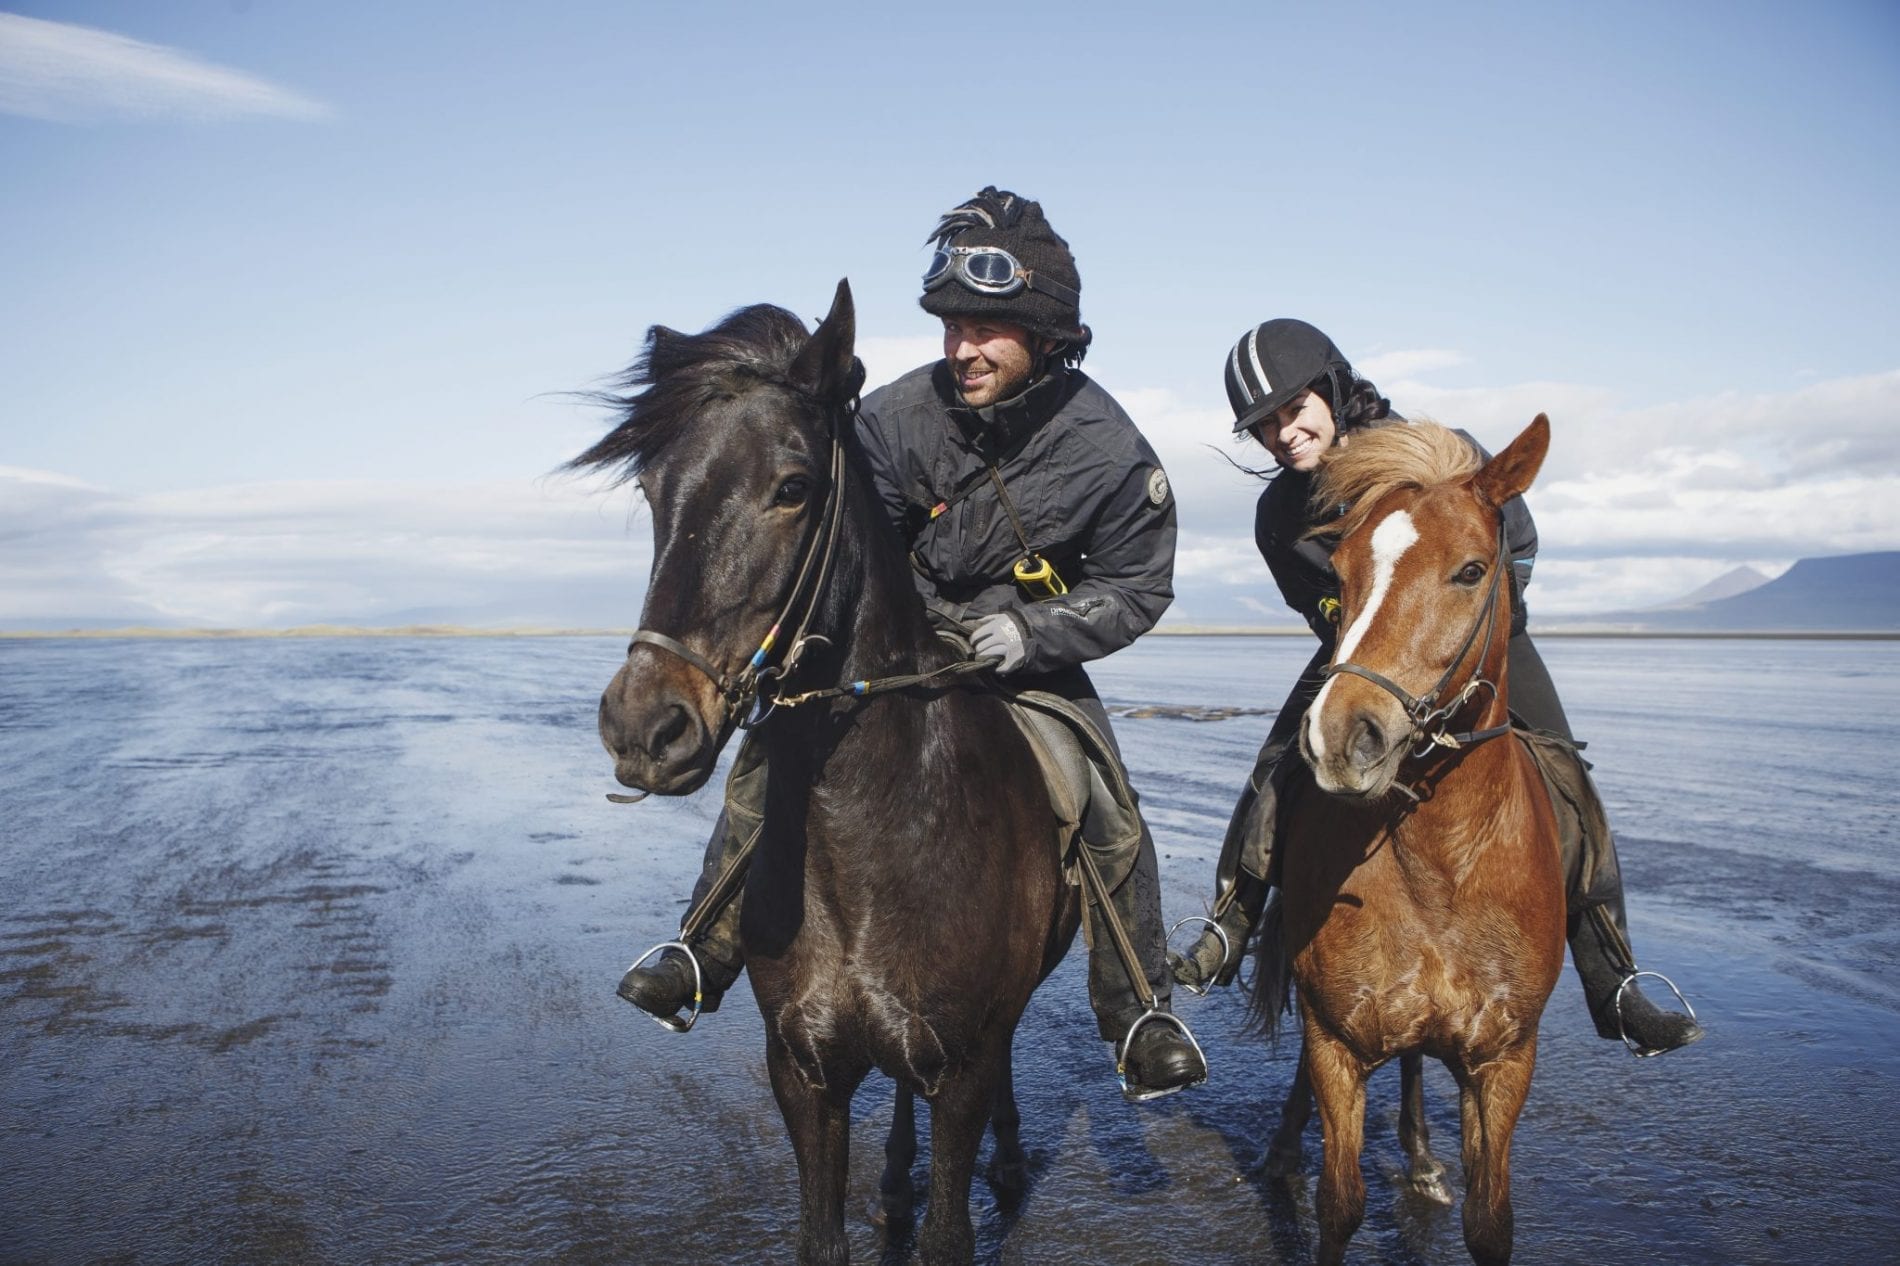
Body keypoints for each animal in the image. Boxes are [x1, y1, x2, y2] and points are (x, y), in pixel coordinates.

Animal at [577, 281, 1079, 1254]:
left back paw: (1004, 1160)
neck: (870, 839)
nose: (643, 727)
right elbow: (823, 1233)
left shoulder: (962, 1069)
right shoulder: (804, 1072)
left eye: (794, 487)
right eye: (655, 490)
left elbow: (950, 1229)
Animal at [1254, 416, 1565, 1262]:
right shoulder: (1334, 1040)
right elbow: (1339, 1205)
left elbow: (1491, 1224)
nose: (1340, 737)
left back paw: (1422, 1154)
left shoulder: (1504, 1057)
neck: (1441, 863)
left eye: (1472, 569)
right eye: (1341, 575)